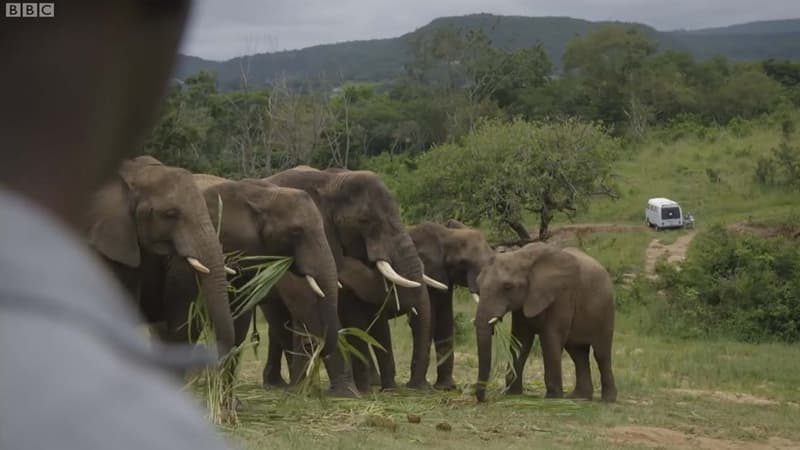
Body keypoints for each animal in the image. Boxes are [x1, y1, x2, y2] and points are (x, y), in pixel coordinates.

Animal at [476, 243, 620, 404]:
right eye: (478, 283)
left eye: (507, 286)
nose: (484, 399)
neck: (521, 255)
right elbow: (521, 340)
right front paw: (513, 395)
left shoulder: (562, 295)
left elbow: (550, 339)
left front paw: (553, 398)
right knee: (578, 353)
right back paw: (579, 397)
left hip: (606, 309)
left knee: (601, 353)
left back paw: (608, 400)